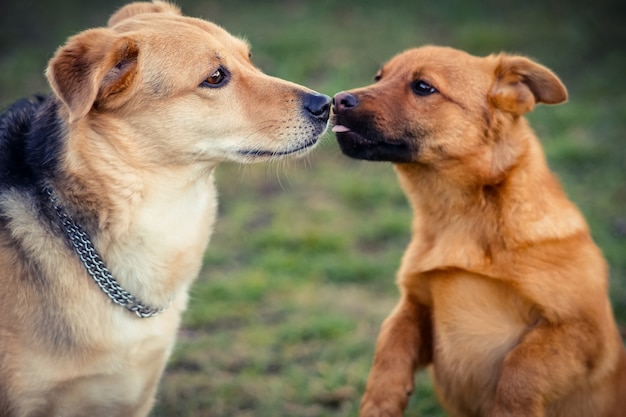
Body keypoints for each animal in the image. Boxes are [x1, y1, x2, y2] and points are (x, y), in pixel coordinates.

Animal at [332, 45, 624, 416]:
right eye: (378, 77)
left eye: (423, 87)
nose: (336, 100)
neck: (461, 219)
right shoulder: (417, 305)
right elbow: (390, 341)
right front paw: (380, 401)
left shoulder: (583, 331)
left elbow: (520, 367)